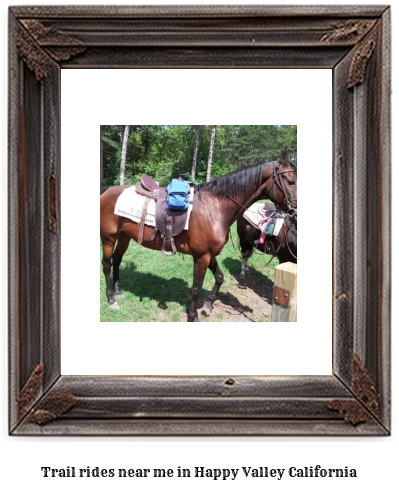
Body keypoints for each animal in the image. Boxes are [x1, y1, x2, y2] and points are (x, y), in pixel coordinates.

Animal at [100, 148, 296, 320]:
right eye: (291, 181)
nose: (294, 213)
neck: (215, 208)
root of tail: (108, 190)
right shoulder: (201, 257)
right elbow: (196, 288)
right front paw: (193, 316)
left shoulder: (209, 254)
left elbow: (219, 278)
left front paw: (208, 305)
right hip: (108, 238)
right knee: (107, 264)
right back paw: (111, 298)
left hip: (124, 236)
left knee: (117, 259)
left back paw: (119, 291)